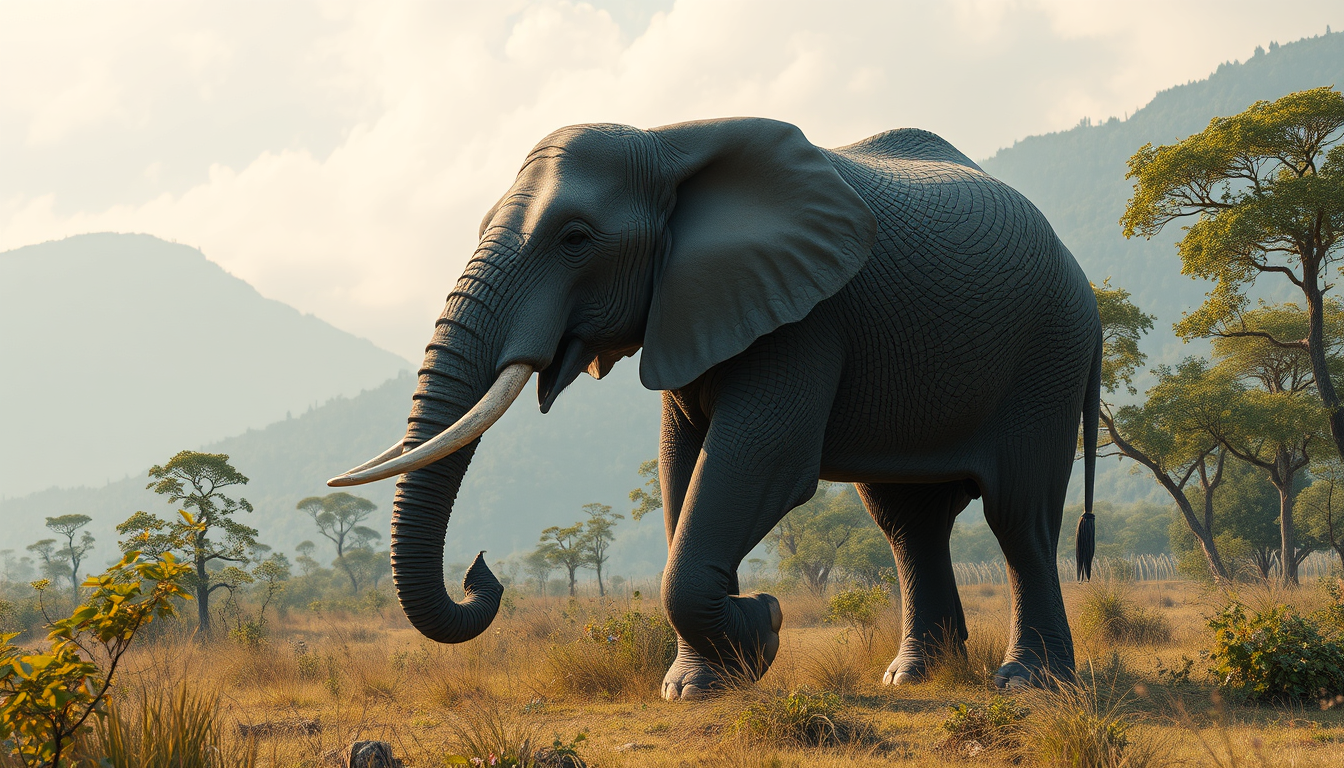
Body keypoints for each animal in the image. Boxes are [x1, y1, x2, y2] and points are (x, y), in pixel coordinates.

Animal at [330, 117, 1102, 699]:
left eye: (575, 238)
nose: (480, 572)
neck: (668, 143)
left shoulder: (807, 317)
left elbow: (764, 461)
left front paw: (762, 628)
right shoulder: (694, 307)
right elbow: (681, 466)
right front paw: (703, 682)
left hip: (1050, 354)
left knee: (1019, 516)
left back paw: (1028, 684)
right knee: (908, 522)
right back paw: (914, 679)